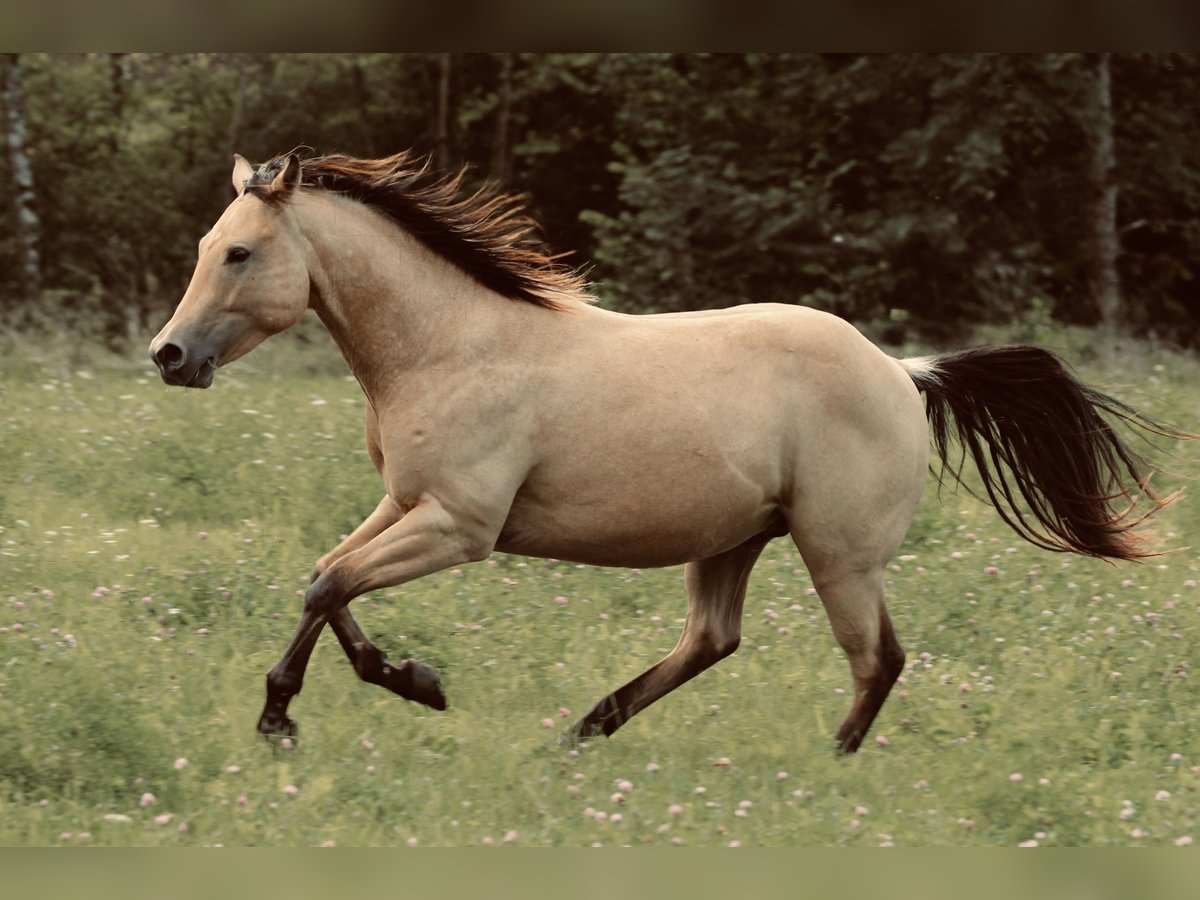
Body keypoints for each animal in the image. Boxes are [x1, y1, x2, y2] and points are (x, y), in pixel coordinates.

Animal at [149, 151, 1189, 754]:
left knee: (877, 660)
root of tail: (906, 372)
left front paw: (291, 716)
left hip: (839, 556)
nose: (169, 356)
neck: (454, 345)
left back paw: (826, 768)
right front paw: (407, 684)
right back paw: (577, 737)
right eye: (207, 243)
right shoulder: (406, 506)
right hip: (732, 539)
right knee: (711, 641)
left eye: (239, 253)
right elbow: (326, 581)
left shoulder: (459, 527)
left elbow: (330, 586)